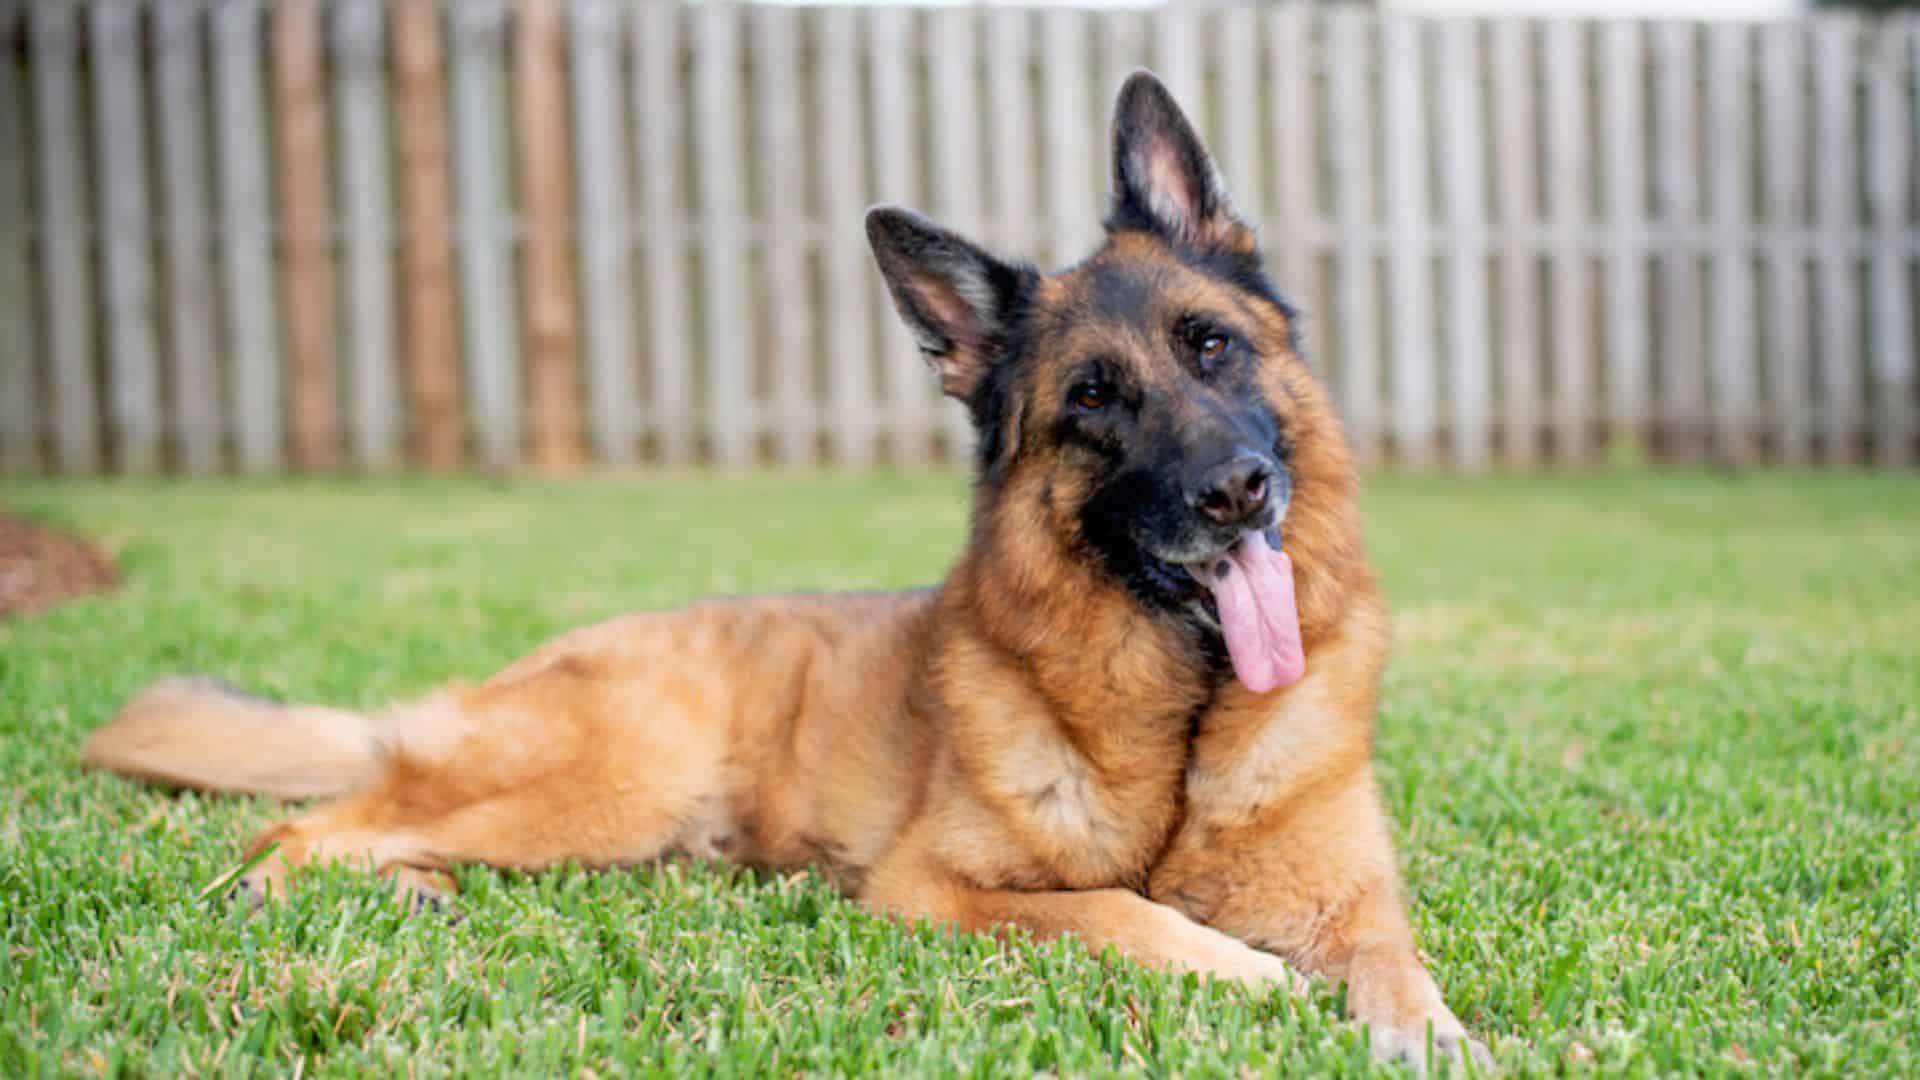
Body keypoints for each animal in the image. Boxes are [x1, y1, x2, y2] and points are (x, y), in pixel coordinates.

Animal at [86, 73, 1482, 1060]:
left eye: (1212, 347)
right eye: (1093, 401)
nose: (1236, 491)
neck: (1189, 718)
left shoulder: (1356, 902)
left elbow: (1399, 968)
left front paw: (1430, 1035)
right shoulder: (933, 891)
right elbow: (1117, 912)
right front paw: (1244, 971)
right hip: (616, 789)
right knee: (298, 828)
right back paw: (306, 891)